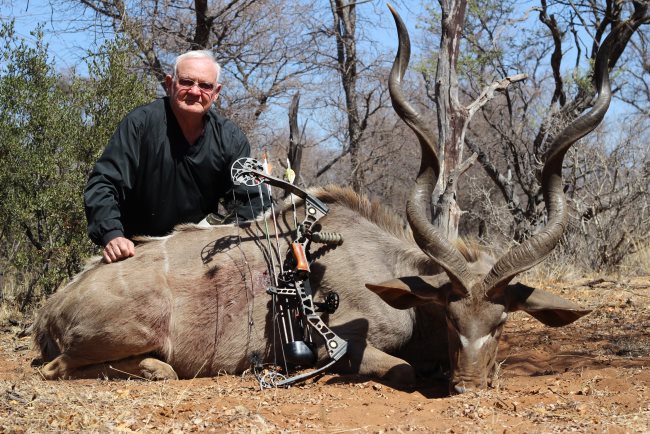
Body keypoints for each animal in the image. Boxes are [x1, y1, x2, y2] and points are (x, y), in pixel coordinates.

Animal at [32, 5, 621, 394]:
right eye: (452, 318)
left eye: (498, 324)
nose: (470, 386)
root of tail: (51, 310)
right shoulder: (337, 345)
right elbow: (404, 369)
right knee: (81, 369)